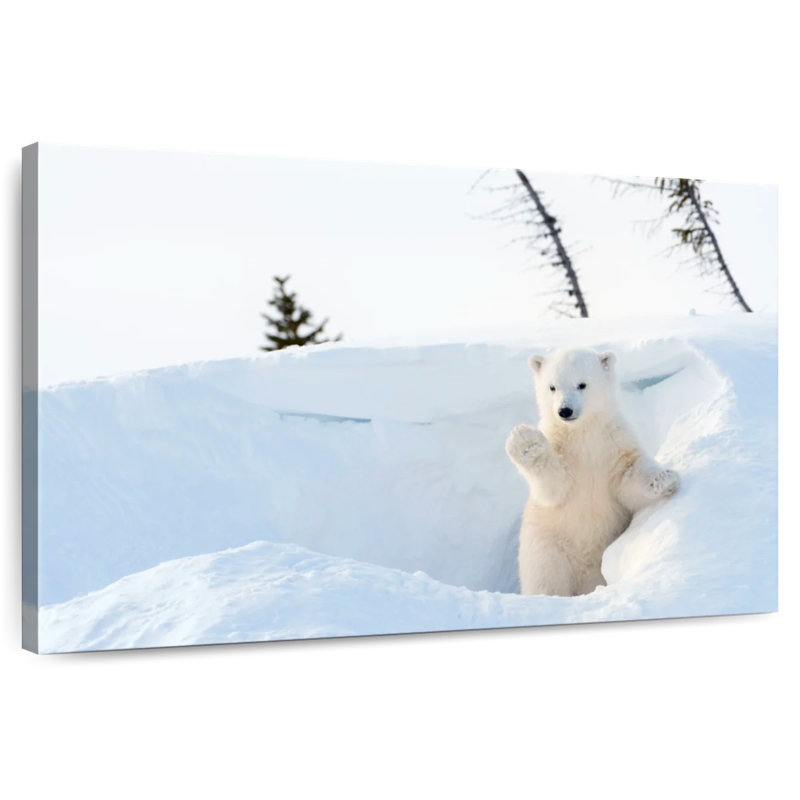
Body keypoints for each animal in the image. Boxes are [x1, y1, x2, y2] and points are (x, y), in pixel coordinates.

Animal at [505, 347, 680, 597]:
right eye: (552, 387)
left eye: (582, 384)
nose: (564, 410)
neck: (583, 433)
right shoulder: (562, 450)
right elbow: (554, 486)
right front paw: (526, 443)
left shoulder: (613, 443)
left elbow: (628, 475)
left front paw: (664, 478)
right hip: (547, 548)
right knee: (547, 580)